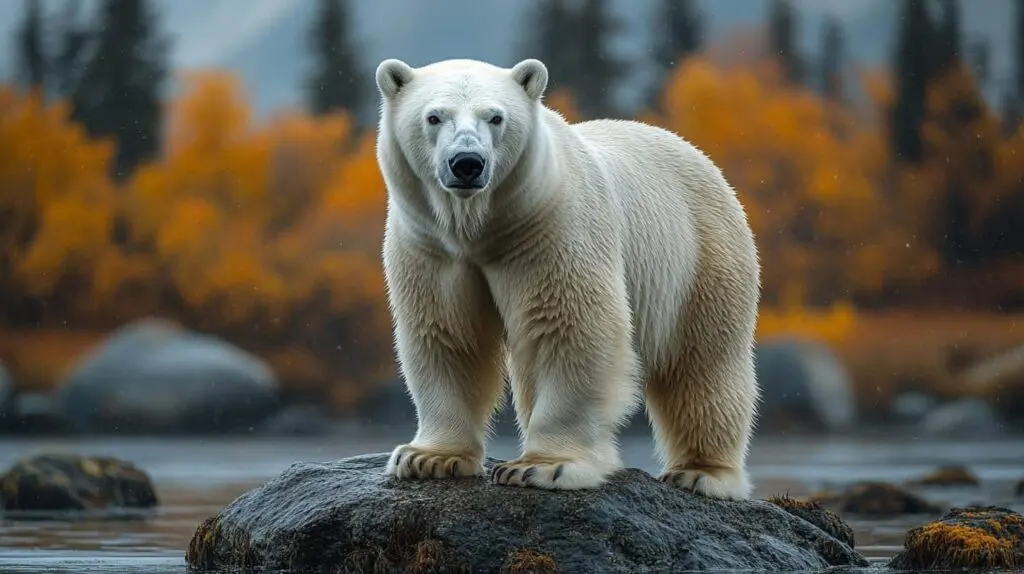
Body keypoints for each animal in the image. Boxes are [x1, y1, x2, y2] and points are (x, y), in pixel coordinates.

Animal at [373, 57, 761, 500]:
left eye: (496, 117)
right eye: (434, 117)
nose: (467, 163)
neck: (481, 228)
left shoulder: (551, 230)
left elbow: (571, 328)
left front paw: (542, 466)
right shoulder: (432, 248)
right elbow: (448, 334)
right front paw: (428, 458)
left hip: (701, 256)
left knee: (702, 361)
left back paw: (701, 473)